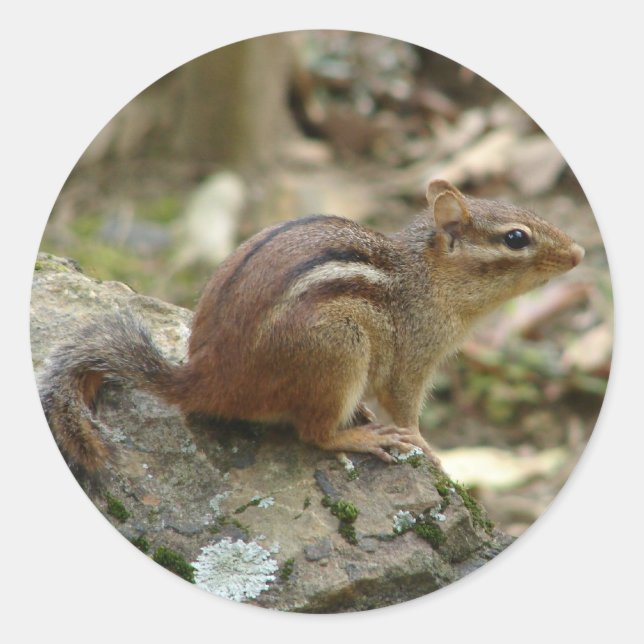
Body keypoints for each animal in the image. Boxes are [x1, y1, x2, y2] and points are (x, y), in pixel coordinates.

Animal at [39, 179, 584, 472]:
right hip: (338, 350)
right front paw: (425, 446)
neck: (425, 277)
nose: (579, 252)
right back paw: (364, 437)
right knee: (314, 434)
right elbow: (406, 409)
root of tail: (207, 379)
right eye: (516, 238)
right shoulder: (412, 358)